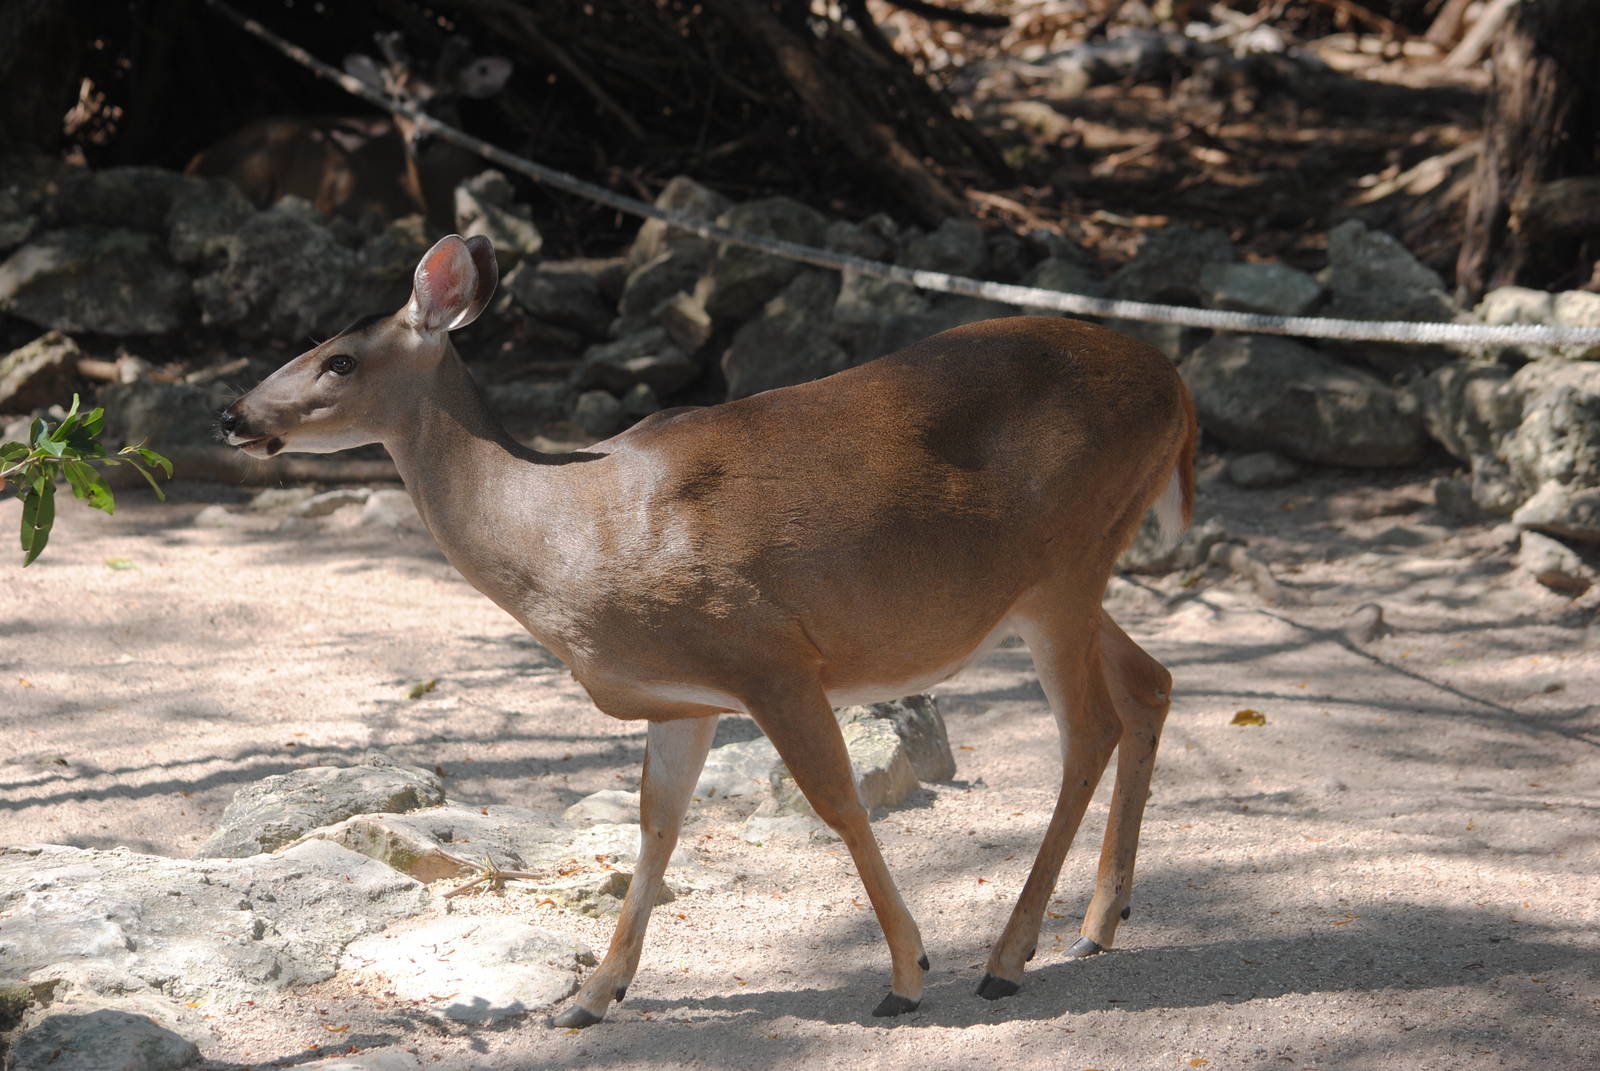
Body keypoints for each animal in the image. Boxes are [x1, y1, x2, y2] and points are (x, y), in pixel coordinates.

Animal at [219, 233, 1197, 1027]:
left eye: (339, 360)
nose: (231, 415)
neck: (568, 526)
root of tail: (1178, 389)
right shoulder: (680, 697)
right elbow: (655, 826)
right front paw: (590, 996)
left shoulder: (766, 649)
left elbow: (836, 801)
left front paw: (908, 974)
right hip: (1063, 580)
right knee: (1151, 682)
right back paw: (1096, 926)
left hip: (1064, 564)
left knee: (1090, 728)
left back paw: (1007, 957)